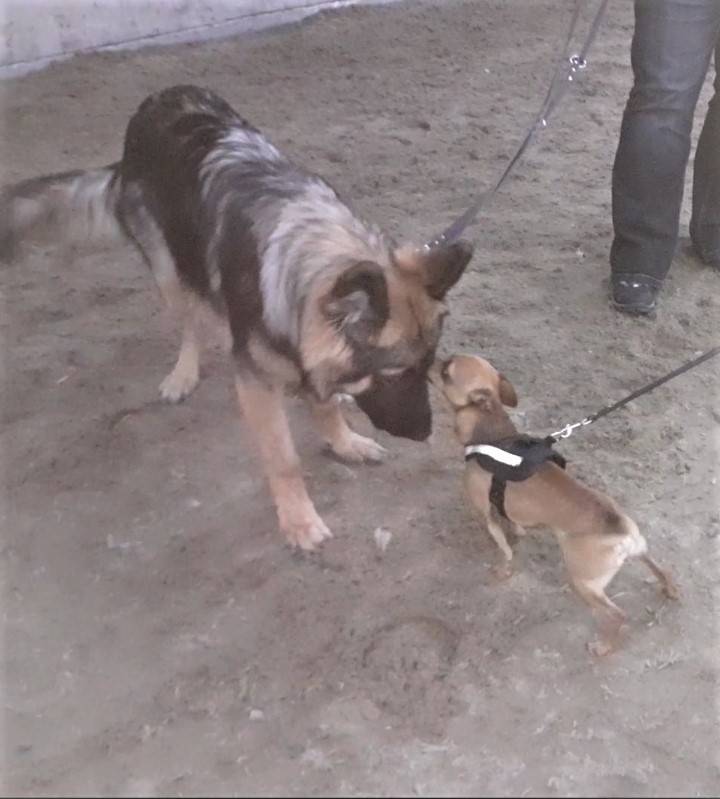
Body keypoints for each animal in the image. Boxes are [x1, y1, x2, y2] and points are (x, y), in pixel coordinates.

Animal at [1, 85, 474, 550]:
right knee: (191, 322)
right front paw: (299, 520)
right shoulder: (258, 382)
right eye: (394, 375)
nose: (424, 433)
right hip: (171, 270)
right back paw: (184, 373)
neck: (305, 262)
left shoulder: (308, 347)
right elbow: (283, 458)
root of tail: (159, 99)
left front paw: (343, 440)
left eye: (427, 368)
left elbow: (323, 403)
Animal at [430, 353, 678, 655]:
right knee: (659, 568)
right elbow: (513, 523)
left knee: (616, 615)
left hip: (583, 583)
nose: (428, 358)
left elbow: (503, 548)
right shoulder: (504, 507)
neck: (489, 435)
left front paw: (502, 568)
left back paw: (603, 647)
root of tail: (622, 534)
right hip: (639, 552)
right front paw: (518, 533)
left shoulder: (486, 514)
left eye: (446, 372)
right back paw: (670, 590)